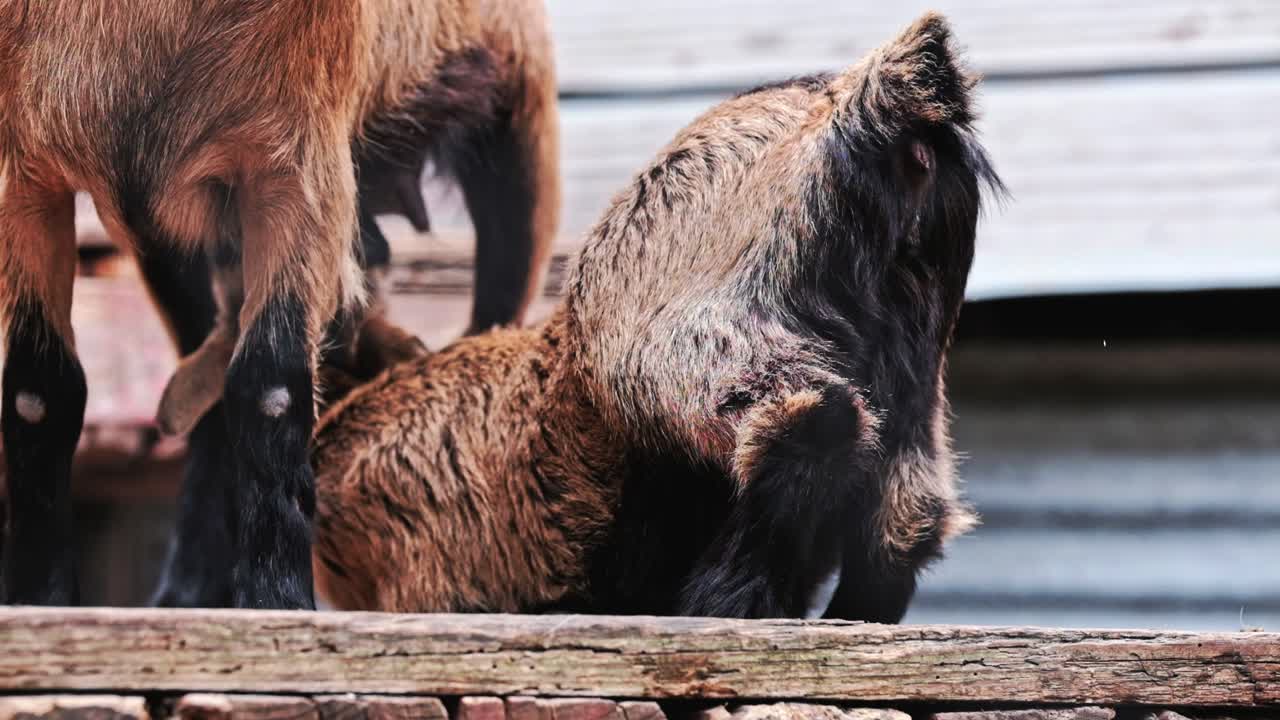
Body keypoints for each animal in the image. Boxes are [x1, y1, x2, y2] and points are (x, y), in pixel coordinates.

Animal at [312, 13, 1001, 619]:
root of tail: (864, 103)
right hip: (913, 340)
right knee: (907, 510)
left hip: (690, 330)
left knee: (800, 414)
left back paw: (727, 604)